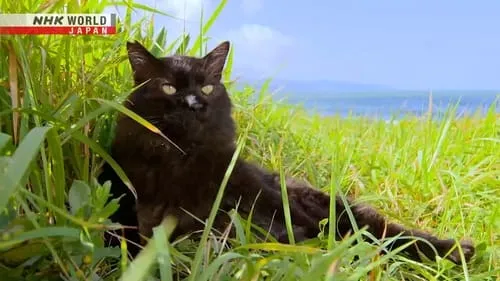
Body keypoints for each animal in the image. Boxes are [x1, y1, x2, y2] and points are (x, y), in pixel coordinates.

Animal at [96, 40, 472, 264]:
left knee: (383, 233)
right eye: (169, 88)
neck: (184, 158)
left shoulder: (262, 200)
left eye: (207, 88)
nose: (194, 104)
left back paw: (458, 250)